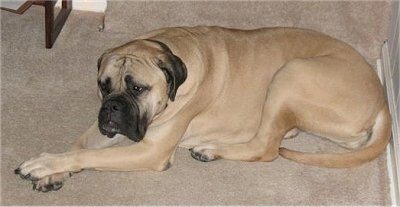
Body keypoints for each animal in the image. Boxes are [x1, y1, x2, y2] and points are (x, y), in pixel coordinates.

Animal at [14, 26, 390, 192]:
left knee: (266, 148)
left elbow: (88, 155)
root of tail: (383, 99)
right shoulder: (105, 129)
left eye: (138, 88)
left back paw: (210, 149)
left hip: (291, 73)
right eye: (104, 85)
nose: (112, 108)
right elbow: (78, 145)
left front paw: (44, 164)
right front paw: (55, 171)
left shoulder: (151, 150)